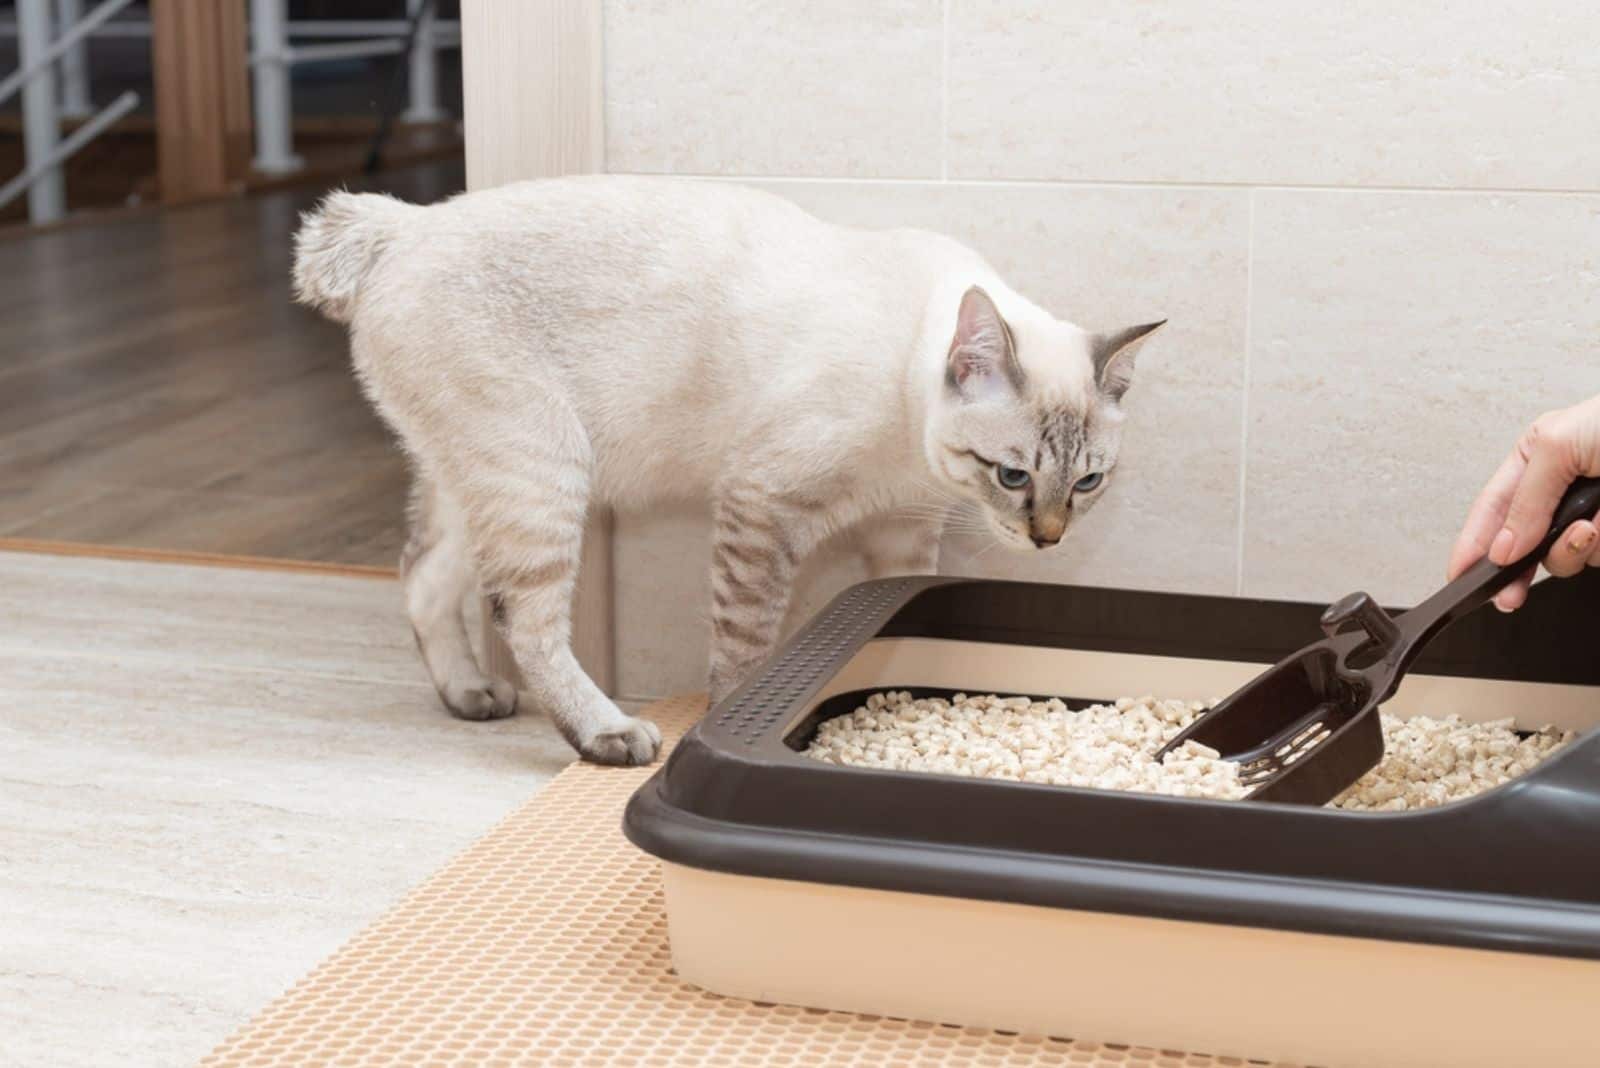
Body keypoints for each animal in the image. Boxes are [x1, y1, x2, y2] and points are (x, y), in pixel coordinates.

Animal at [291, 179, 1164, 767]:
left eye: (1086, 485)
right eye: (1013, 477)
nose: (1048, 540)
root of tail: (404, 223)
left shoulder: (900, 533)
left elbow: (904, 610)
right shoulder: (763, 505)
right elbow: (747, 645)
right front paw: (737, 713)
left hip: (467, 477)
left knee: (421, 576)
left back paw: (469, 695)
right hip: (540, 469)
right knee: (523, 618)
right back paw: (607, 732)